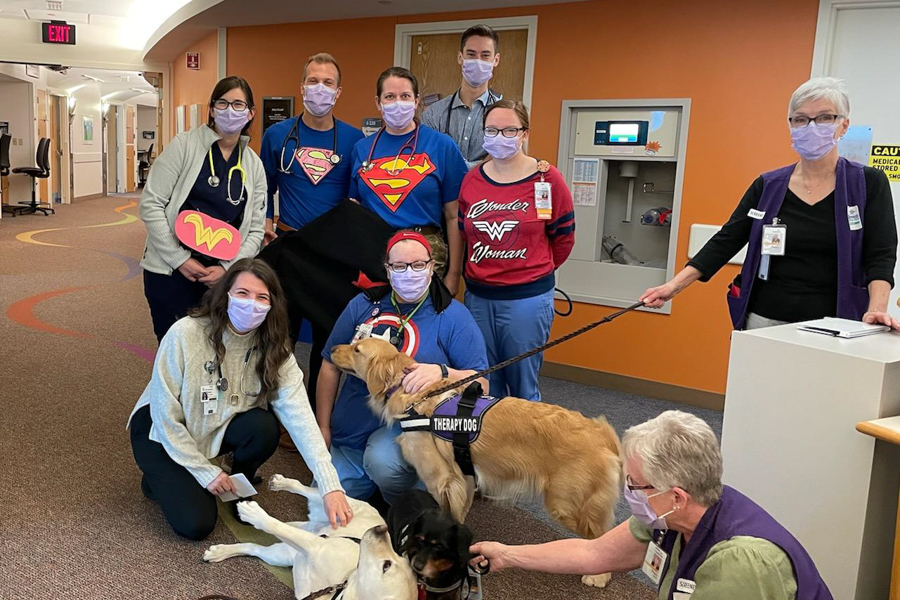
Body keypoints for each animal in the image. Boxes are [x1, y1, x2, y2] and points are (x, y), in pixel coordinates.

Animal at [204, 474, 418, 600]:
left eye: (386, 565)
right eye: (396, 561)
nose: (381, 528)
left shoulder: (313, 546)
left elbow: (278, 529)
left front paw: (255, 516)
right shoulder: (317, 545)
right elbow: (276, 525)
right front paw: (256, 514)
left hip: (282, 554)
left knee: (255, 546)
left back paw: (220, 551)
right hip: (337, 506)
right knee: (310, 490)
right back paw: (282, 483)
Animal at [332, 340, 624, 588]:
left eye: (357, 349)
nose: (332, 348)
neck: (414, 396)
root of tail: (602, 432)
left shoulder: (440, 480)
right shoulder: (464, 478)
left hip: (566, 503)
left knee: (602, 536)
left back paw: (598, 576)